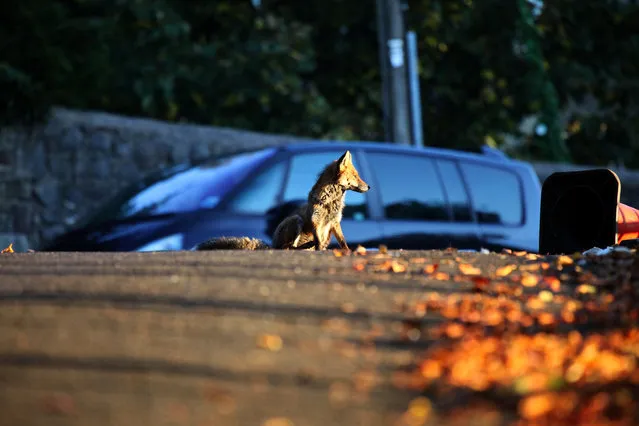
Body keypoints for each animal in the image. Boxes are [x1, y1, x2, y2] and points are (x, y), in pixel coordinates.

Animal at [194, 150, 370, 251]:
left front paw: (347, 252)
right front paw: (319, 248)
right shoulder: (315, 220)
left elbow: (343, 242)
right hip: (296, 220)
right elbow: (319, 241)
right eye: (356, 176)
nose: (369, 187)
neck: (330, 203)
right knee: (288, 247)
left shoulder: (334, 223)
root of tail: (271, 245)